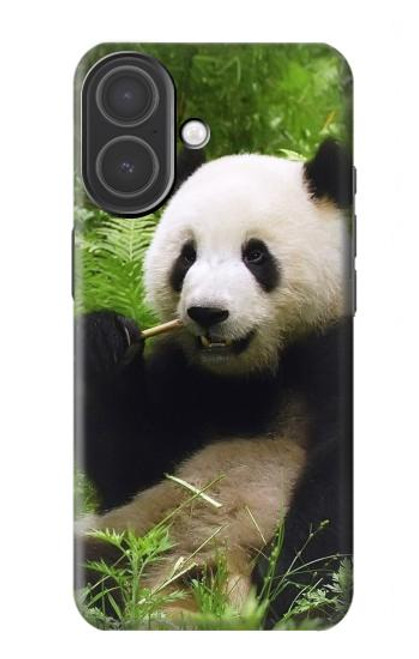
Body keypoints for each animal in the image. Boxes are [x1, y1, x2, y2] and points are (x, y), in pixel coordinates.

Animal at [76, 139, 353, 625]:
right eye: (187, 255)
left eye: (256, 255)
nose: (207, 312)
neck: (258, 372)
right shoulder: (188, 378)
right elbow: (137, 466)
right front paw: (104, 341)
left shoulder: (335, 351)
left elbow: (335, 491)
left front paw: (290, 587)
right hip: (130, 534)